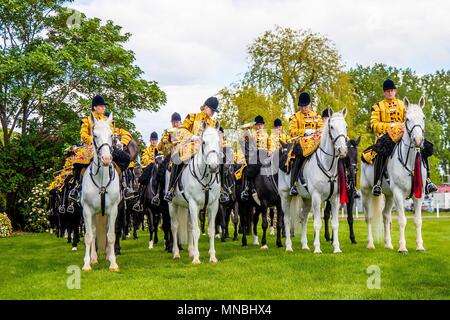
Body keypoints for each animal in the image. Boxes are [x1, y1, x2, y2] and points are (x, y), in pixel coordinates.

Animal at [80, 114, 120, 272]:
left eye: (111, 135)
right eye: (95, 135)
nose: (106, 159)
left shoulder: (113, 210)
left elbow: (111, 236)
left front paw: (113, 263)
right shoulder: (87, 210)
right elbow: (89, 236)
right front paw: (86, 264)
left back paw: (108, 256)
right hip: (93, 214)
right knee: (94, 232)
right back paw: (93, 258)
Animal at [167, 124, 221, 264]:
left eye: (218, 141)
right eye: (203, 142)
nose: (213, 167)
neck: (205, 178)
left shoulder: (213, 205)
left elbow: (211, 230)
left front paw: (212, 257)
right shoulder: (193, 204)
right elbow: (196, 231)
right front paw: (197, 258)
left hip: (187, 208)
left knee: (189, 226)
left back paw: (191, 251)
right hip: (172, 205)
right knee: (174, 227)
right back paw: (176, 253)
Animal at [278, 109, 348, 254]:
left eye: (346, 126)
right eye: (331, 127)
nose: (343, 150)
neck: (327, 165)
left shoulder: (335, 199)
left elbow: (335, 224)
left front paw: (337, 248)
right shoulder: (316, 197)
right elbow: (317, 224)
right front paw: (317, 248)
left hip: (306, 199)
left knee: (303, 219)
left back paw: (304, 245)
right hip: (285, 196)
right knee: (287, 220)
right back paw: (288, 246)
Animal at [360, 97, 428, 252]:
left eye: (423, 117)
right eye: (407, 119)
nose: (418, 141)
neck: (410, 163)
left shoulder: (418, 194)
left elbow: (418, 221)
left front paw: (420, 246)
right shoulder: (398, 193)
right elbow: (402, 221)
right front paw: (402, 247)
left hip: (389, 196)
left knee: (385, 216)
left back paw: (388, 244)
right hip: (367, 192)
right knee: (369, 217)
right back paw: (370, 244)